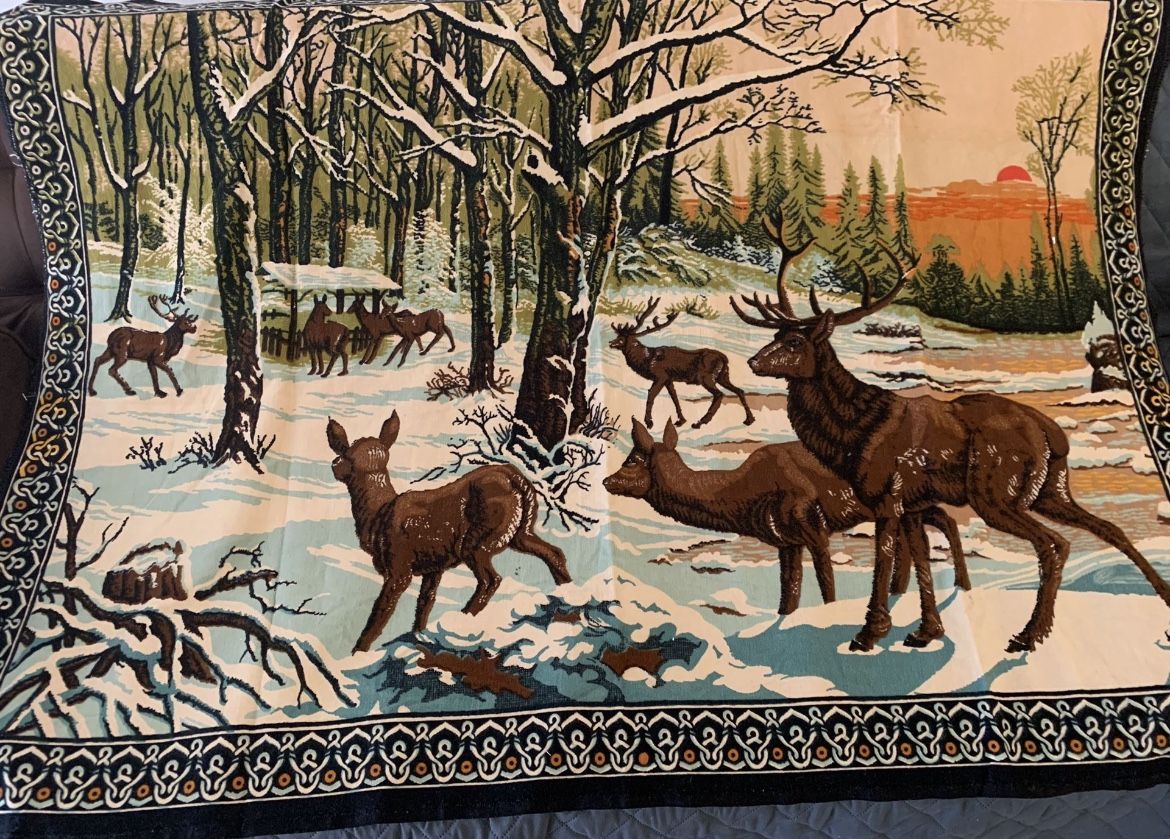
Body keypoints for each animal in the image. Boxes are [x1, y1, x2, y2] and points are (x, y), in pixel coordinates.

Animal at [326, 412, 572, 654]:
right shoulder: (434, 567)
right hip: (520, 531)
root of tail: (517, 479)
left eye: (343, 457)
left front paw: (357, 652)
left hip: (477, 539)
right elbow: (424, 604)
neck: (379, 514)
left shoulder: (399, 566)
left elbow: (379, 613)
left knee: (491, 579)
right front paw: (419, 636)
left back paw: (463, 620)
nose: (334, 466)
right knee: (554, 552)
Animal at [604, 418, 971, 615]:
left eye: (632, 459)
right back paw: (910, 590)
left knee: (946, 522)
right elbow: (788, 595)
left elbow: (825, 587)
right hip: (909, 504)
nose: (607, 481)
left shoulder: (812, 524)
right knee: (937, 525)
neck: (748, 495)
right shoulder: (786, 541)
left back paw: (959, 586)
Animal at [610, 297, 754, 430]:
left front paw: (649, 422)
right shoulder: (669, 379)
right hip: (723, 375)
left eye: (622, 338)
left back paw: (700, 422)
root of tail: (724, 358)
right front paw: (680, 420)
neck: (647, 360)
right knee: (739, 390)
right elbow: (674, 397)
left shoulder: (660, 375)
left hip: (706, 377)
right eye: (617, 336)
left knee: (719, 394)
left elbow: (651, 395)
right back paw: (749, 419)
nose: (611, 342)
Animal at [731, 210, 1170, 653]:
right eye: (775, 335)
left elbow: (885, 557)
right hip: (1050, 489)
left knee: (1053, 543)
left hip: (995, 491)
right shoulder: (914, 504)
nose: (752, 361)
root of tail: (1051, 433)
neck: (851, 438)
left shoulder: (887, 495)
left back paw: (1027, 635)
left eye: (794, 342)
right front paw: (926, 630)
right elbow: (922, 558)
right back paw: (1157, 603)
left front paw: (870, 632)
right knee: (1105, 529)